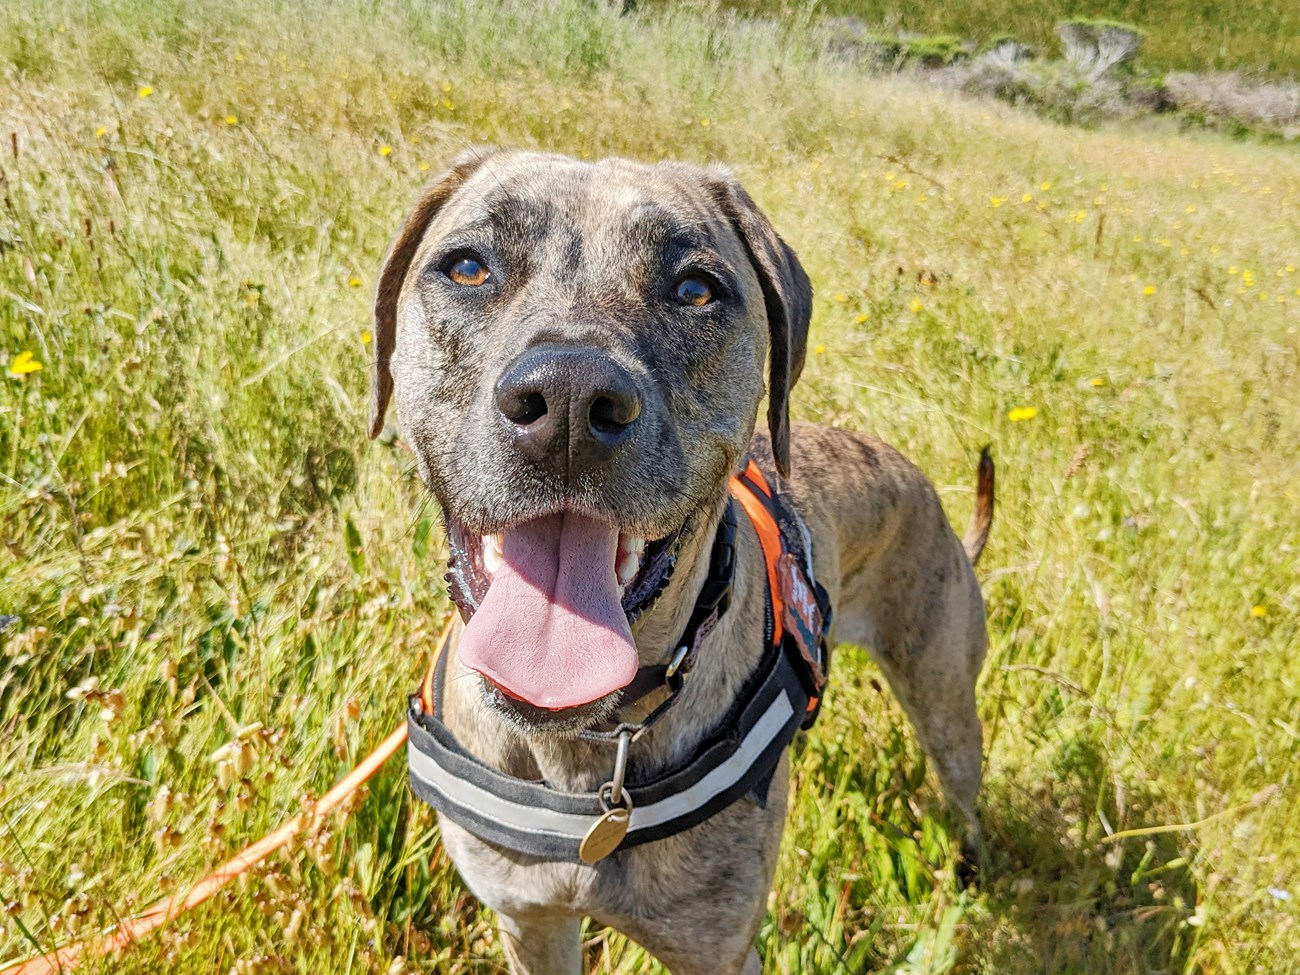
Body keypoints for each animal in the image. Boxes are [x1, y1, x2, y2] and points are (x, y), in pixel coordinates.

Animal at [371, 146, 987, 975]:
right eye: (468, 267)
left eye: (697, 288)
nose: (569, 402)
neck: (590, 746)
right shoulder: (530, 922)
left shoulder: (716, 950)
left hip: (946, 702)